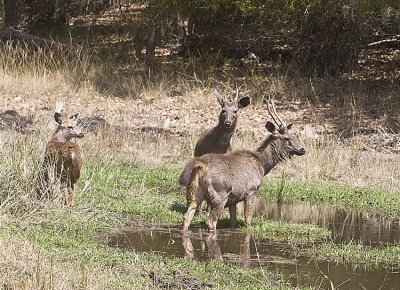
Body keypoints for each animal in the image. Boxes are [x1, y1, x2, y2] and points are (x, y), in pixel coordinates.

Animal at [180, 99, 304, 233]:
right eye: (286, 138)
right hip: (220, 194)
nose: (302, 149)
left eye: (295, 136)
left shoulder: (234, 198)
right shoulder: (251, 190)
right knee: (210, 221)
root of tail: (200, 165)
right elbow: (248, 220)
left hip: (194, 192)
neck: (262, 165)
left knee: (187, 217)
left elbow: (233, 221)